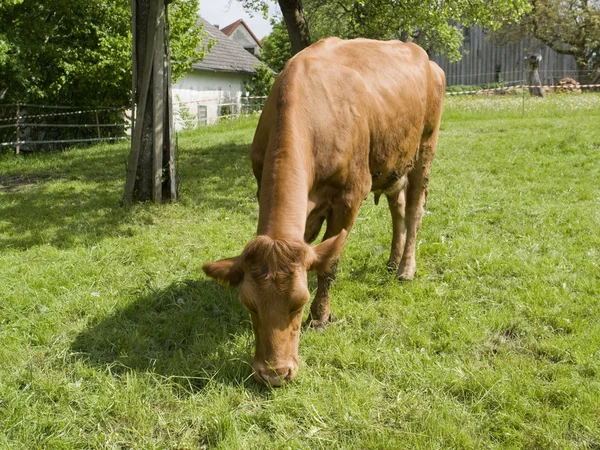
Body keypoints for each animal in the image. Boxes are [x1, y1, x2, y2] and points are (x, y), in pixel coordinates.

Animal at [204, 37, 442, 384]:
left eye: (299, 302)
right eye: (249, 305)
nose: (274, 373)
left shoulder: (349, 197)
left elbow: (329, 264)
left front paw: (321, 316)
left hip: (425, 146)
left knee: (414, 210)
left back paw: (405, 268)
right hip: (394, 162)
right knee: (397, 207)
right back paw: (392, 260)